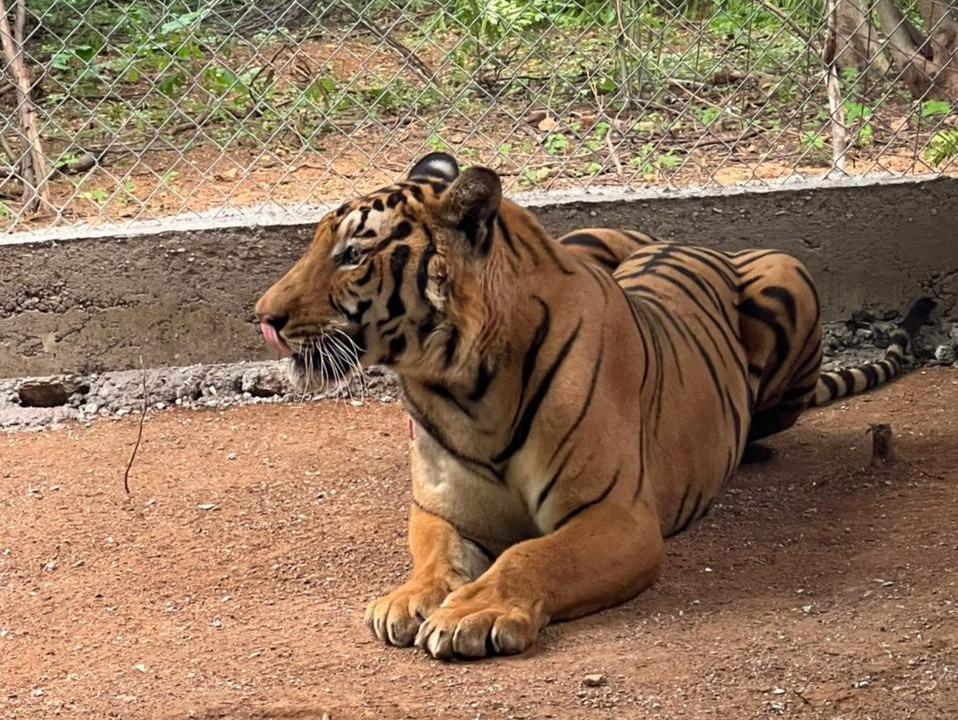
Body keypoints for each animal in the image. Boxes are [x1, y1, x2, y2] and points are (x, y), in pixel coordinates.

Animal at [251, 155, 932, 660]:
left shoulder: (618, 517)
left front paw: (474, 612)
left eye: (353, 255)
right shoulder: (441, 508)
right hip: (587, 235)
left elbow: (531, 555)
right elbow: (436, 555)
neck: (456, 388)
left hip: (787, 273)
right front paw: (408, 598)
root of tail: (684, 240)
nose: (263, 318)